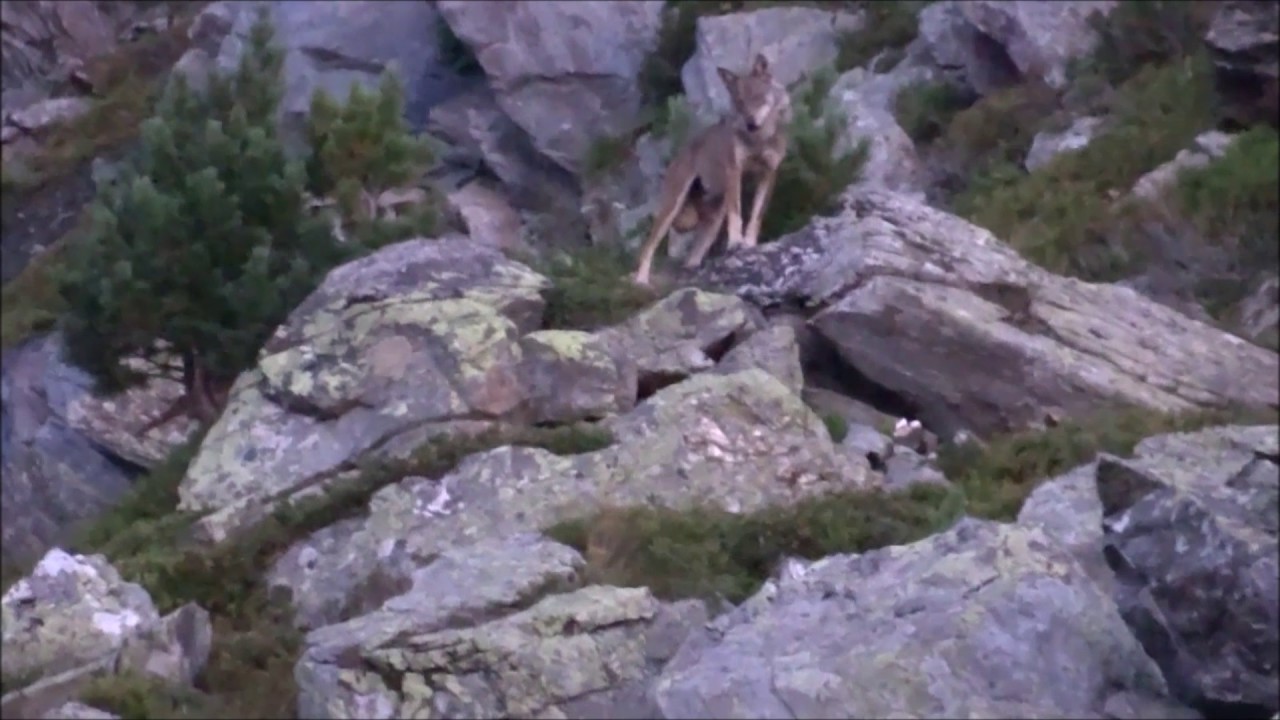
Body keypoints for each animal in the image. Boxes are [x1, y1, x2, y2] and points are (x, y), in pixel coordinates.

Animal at [633, 53, 793, 286]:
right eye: (739, 102)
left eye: (758, 98)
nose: (751, 124)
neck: (758, 140)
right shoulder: (735, 171)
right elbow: (737, 215)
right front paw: (736, 243)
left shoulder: (769, 175)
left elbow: (756, 217)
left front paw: (750, 244)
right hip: (673, 207)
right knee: (648, 246)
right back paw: (641, 281)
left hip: (713, 220)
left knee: (692, 256)